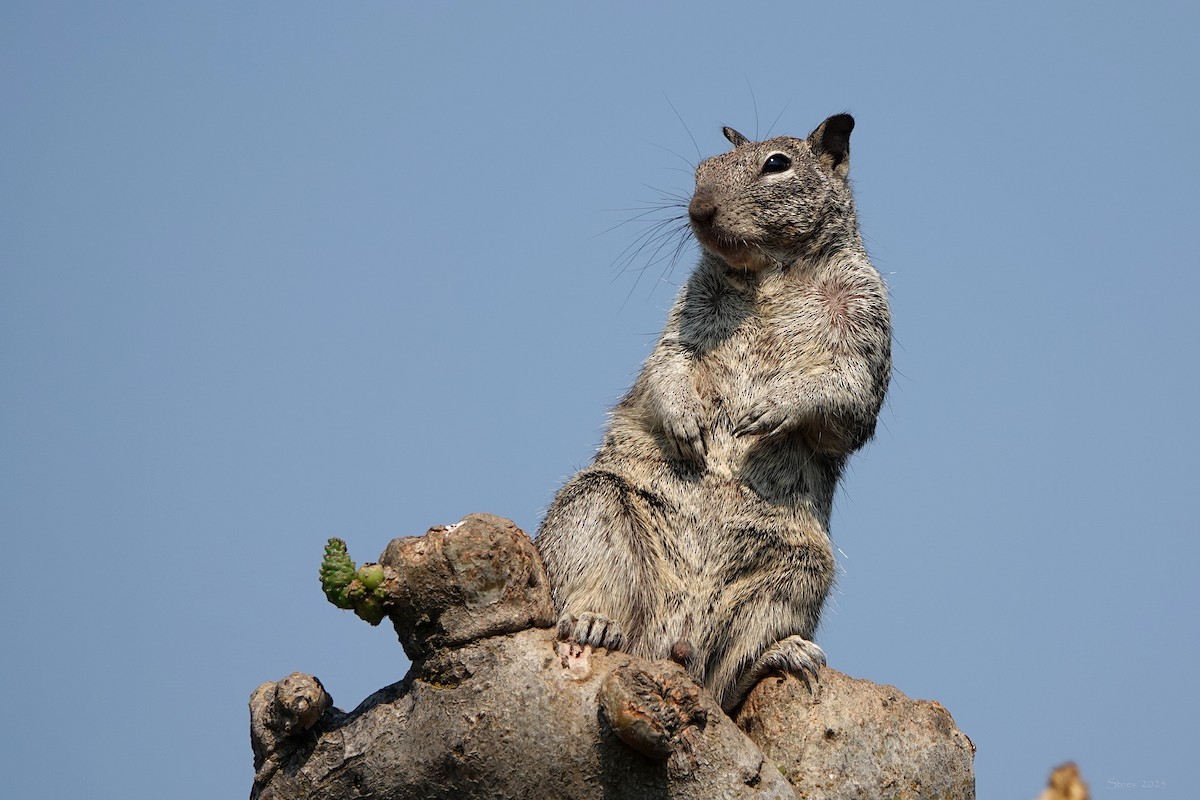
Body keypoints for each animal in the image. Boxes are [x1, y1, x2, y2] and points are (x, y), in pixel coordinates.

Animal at [537, 113, 892, 713]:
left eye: (777, 163)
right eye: (702, 168)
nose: (699, 210)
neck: (773, 275)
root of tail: (670, 644)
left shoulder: (867, 330)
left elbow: (848, 399)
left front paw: (772, 408)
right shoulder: (686, 319)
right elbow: (667, 366)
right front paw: (685, 421)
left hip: (794, 576)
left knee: (726, 680)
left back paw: (781, 655)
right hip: (594, 509)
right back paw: (592, 620)